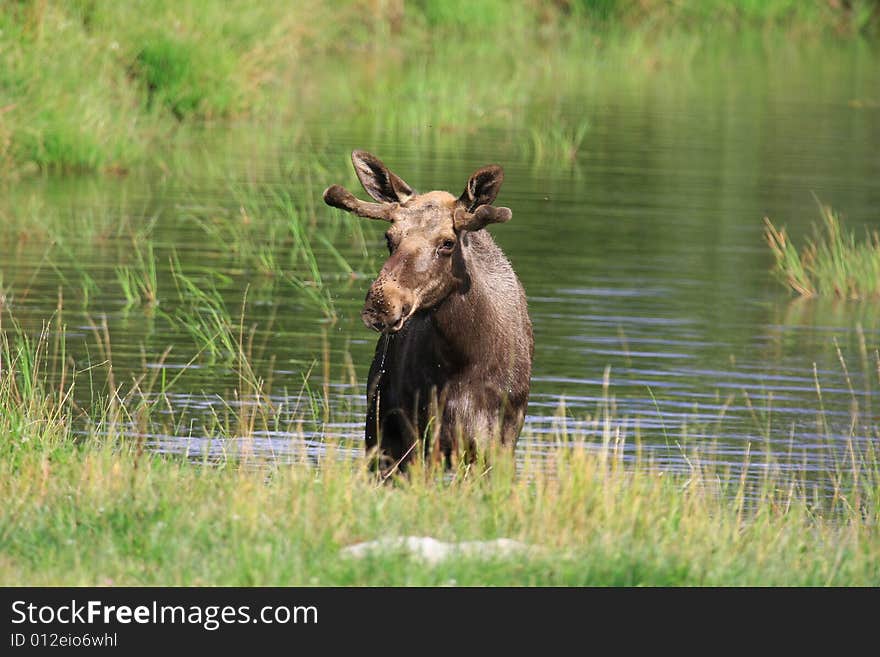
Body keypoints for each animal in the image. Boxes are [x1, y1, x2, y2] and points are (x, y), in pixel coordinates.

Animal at [322, 151, 532, 474]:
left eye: (447, 242)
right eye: (389, 237)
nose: (382, 302)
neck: (463, 359)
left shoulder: (498, 442)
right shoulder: (414, 436)